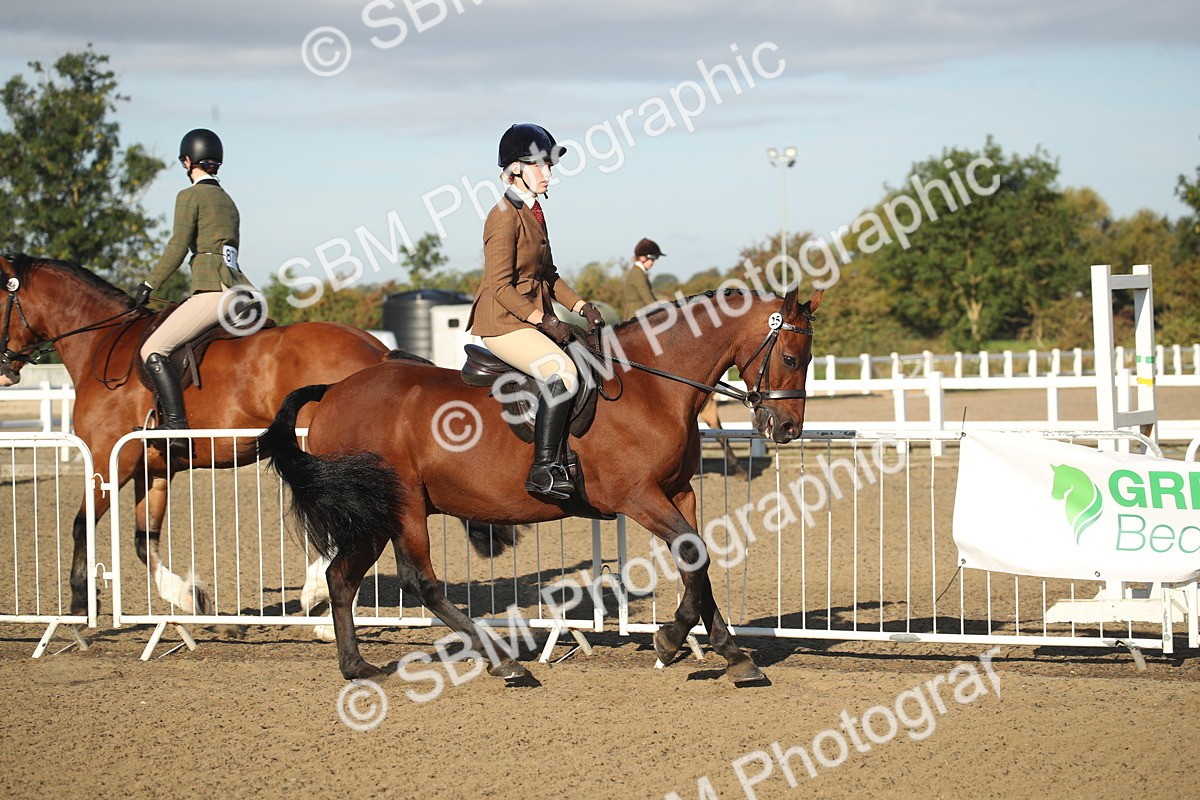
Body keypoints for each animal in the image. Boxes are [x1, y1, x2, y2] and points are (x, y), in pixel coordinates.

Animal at [0, 253, 512, 623]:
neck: (104, 346)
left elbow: (81, 524)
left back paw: (314, 593)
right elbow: (145, 540)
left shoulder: (110, 458)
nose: (6, 369)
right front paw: (190, 600)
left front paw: (79, 605)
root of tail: (377, 351)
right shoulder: (152, 468)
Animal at [261, 285, 823, 682]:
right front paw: (675, 642)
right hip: (401, 507)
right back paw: (501, 661)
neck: (652, 386)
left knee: (341, 578)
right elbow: (693, 554)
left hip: (375, 515)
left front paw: (725, 652)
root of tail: (333, 392)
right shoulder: (638, 496)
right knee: (418, 580)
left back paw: (357, 666)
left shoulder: (678, 491)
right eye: (791, 358)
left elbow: (697, 562)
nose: (787, 429)